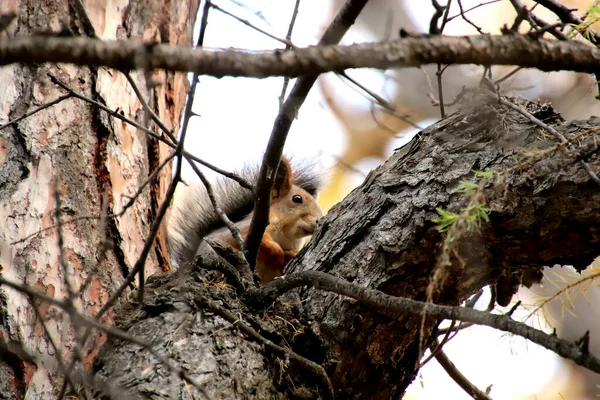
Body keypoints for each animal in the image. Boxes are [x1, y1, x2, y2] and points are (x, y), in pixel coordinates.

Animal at [166, 156, 324, 284]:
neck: (286, 233)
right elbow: (256, 242)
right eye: (297, 199)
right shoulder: (245, 230)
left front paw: (290, 256)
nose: (318, 221)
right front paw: (277, 252)